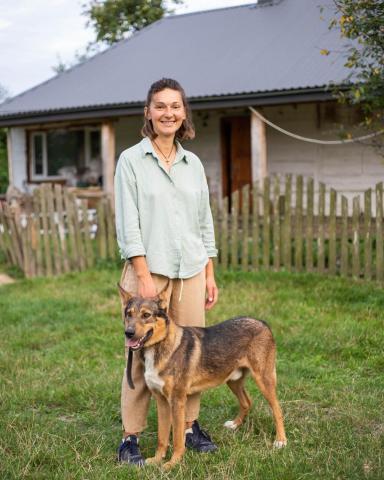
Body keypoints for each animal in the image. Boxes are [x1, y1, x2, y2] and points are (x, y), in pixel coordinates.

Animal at [118, 282, 286, 468]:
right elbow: (162, 438)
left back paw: (280, 441)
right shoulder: (161, 401)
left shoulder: (177, 401)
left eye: (146, 315)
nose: (128, 333)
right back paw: (234, 425)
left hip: (263, 380)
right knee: (247, 402)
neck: (158, 347)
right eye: (128, 314)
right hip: (232, 380)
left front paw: (173, 463)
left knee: (277, 409)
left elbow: (178, 438)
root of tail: (262, 323)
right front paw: (156, 460)